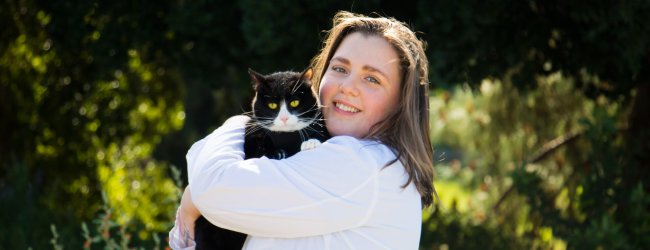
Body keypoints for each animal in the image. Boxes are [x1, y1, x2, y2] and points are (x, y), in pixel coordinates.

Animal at [192, 67, 330, 249]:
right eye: (272, 105)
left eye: (294, 103)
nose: (284, 118)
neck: (285, 137)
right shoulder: (251, 134)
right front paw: (276, 153)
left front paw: (311, 143)